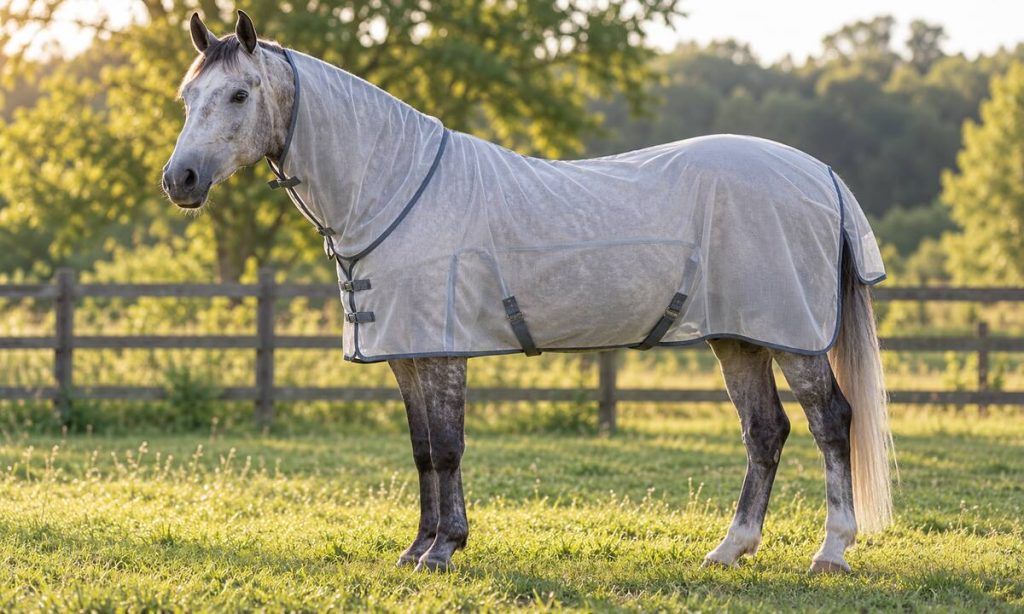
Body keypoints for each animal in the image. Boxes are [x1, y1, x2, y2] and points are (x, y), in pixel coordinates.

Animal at [162, 11, 893, 574]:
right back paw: (729, 549)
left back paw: (831, 552)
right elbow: (422, 451)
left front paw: (444, 550)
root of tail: (820, 174)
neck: (392, 187)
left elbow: (447, 447)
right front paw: (417, 548)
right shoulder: (408, 353)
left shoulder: (443, 352)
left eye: (239, 95)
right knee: (765, 431)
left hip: (794, 338)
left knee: (832, 423)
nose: (181, 179)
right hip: (739, 338)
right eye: (187, 97)